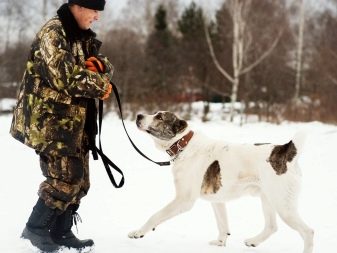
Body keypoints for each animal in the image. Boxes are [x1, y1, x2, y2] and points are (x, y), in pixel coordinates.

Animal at [128, 111, 312, 253]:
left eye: (159, 116)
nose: (139, 115)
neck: (184, 145)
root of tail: (284, 150)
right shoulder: (217, 200)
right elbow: (223, 224)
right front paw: (220, 243)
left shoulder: (184, 200)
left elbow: (156, 215)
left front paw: (138, 232)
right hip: (268, 199)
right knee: (272, 227)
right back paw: (253, 241)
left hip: (283, 205)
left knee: (308, 232)